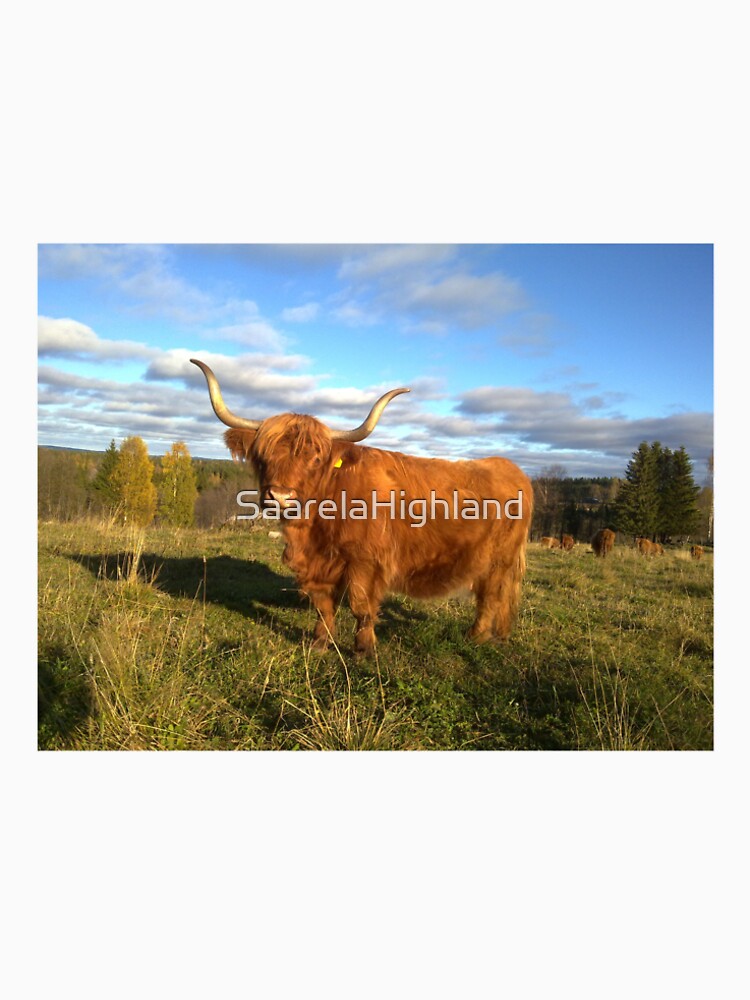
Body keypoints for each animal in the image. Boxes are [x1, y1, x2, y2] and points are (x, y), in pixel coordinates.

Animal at [191, 360, 534, 655]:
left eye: (316, 459)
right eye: (263, 456)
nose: (280, 496)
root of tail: (512, 469)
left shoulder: (366, 561)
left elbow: (360, 605)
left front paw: (364, 649)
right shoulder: (318, 565)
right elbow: (323, 605)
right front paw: (319, 643)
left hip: (499, 560)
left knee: (490, 596)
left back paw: (476, 637)